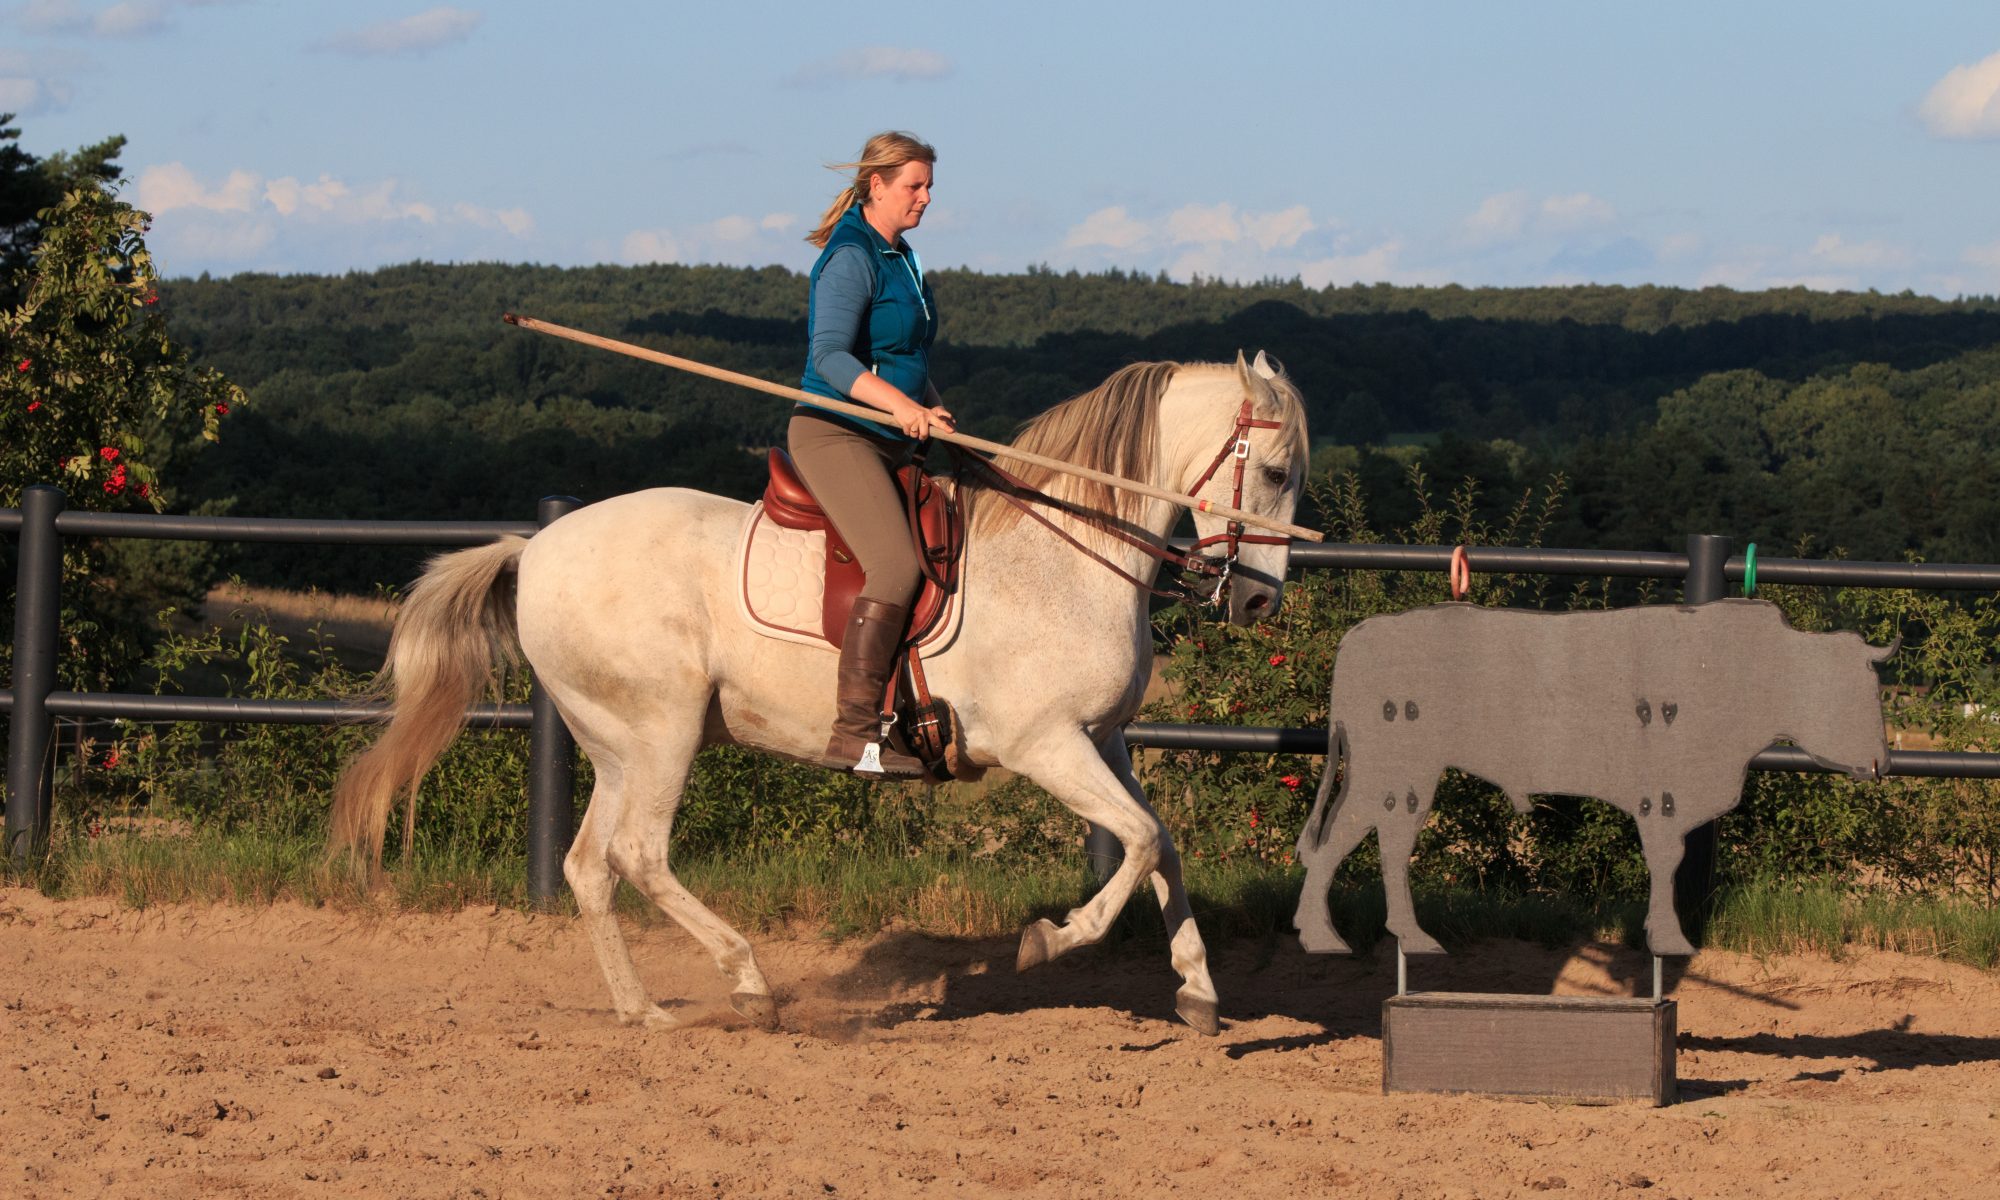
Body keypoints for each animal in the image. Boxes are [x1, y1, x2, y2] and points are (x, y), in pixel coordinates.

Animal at [332, 352, 1312, 1032]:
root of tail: (535, 549)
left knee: (588, 866)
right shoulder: (1048, 744)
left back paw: (643, 1012)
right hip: (661, 732)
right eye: (1272, 472)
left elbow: (1163, 842)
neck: (1062, 552)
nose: (1260, 603)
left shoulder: (1101, 739)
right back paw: (750, 985)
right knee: (640, 855)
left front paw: (1198, 993)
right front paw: (1050, 940)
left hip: (613, 743)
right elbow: (1139, 843)